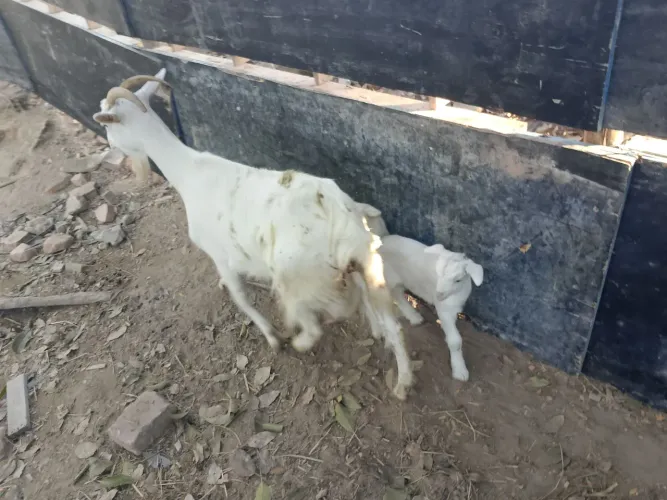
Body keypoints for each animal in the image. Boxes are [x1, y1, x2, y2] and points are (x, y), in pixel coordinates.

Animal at [91, 69, 413, 399]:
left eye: (106, 121)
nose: (109, 147)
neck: (188, 171)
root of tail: (342, 219)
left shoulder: (218, 253)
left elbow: (241, 298)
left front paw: (272, 338)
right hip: (368, 269)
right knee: (391, 323)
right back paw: (401, 380)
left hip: (296, 277)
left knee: (317, 322)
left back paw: (300, 340)